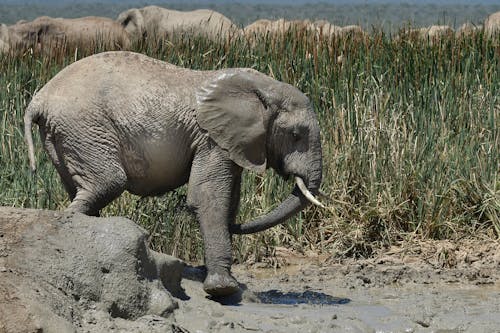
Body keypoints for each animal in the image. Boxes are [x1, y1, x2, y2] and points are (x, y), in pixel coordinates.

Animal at [24, 51, 324, 296]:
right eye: (296, 135)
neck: (263, 86)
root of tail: (39, 99)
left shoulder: (232, 143)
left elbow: (229, 199)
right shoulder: (210, 138)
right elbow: (208, 197)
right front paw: (223, 289)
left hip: (64, 135)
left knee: (84, 191)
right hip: (83, 126)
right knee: (108, 183)